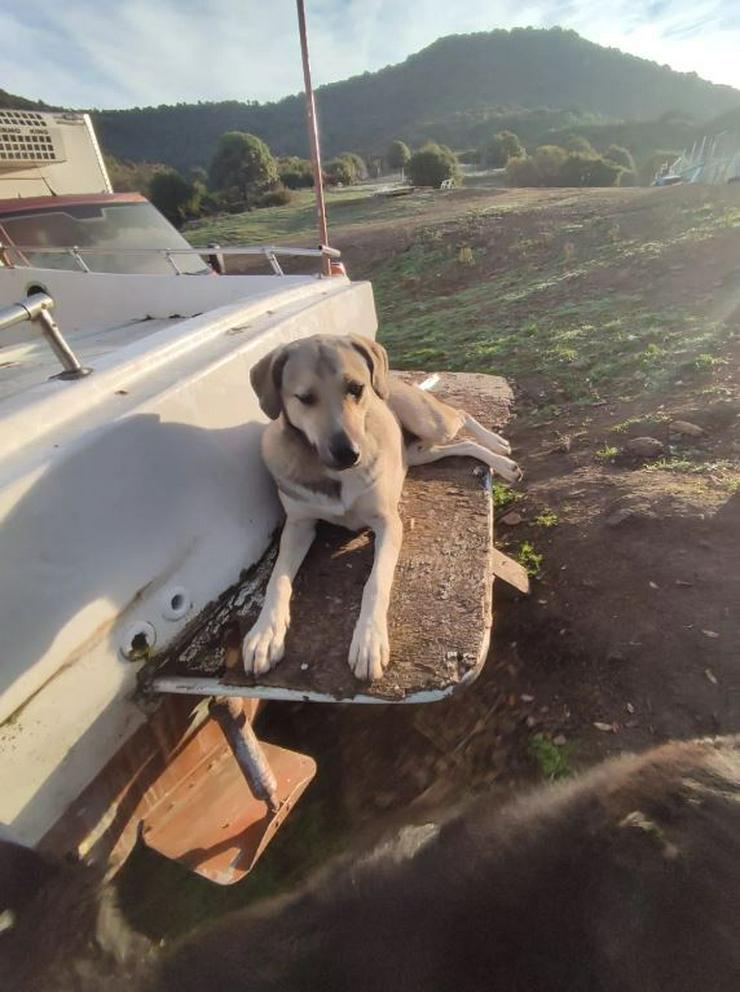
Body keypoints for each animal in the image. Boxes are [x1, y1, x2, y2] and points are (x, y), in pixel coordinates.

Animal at [243, 334, 520, 680]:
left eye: (356, 388)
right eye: (304, 398)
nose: (349, 454)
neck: (331, 474)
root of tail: (394, 379)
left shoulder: (388, 523)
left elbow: (375, 583)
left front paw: (369, 640)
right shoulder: (298, 527)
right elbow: (277, 580)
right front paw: (264, 634)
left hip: (429, 422)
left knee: (462, 415)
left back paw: (500, 450)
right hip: (418, 453)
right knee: (462, 445)